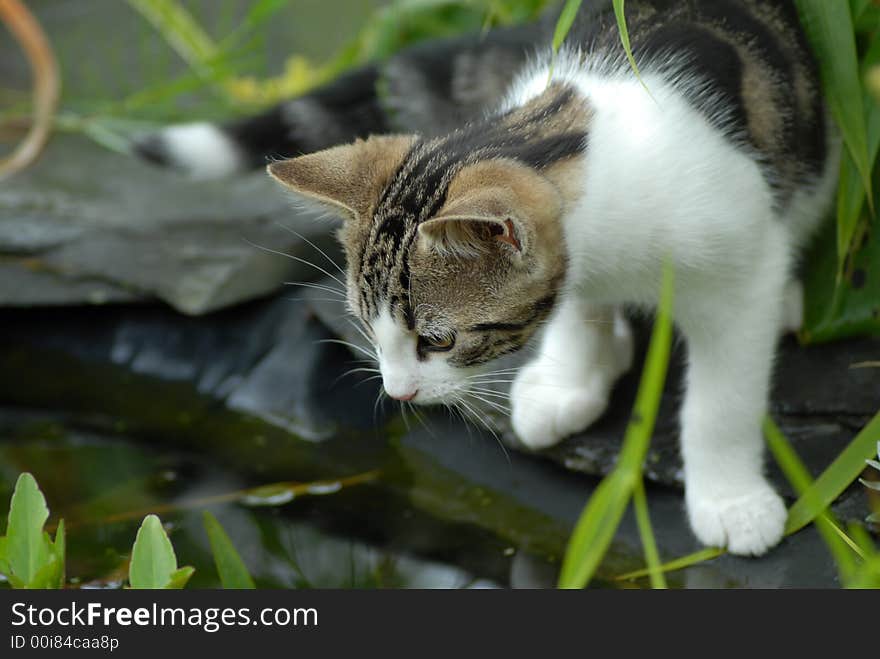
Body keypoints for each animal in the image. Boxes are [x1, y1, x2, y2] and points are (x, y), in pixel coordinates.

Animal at [138, 1, 840, 556]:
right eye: (367, 327)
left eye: (439, 340)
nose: (398, 394)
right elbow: (574, 304)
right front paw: (570, 379)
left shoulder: (737, 263)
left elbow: (722, 397)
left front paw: (730, 501)